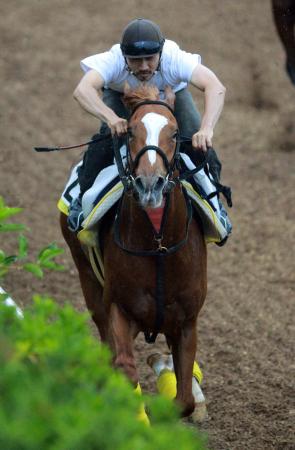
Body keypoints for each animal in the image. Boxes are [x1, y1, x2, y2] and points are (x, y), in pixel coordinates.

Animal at [60, 86, 208, 416]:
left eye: (175, 133)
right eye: (130, 132)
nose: (149, 184)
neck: (158, 246)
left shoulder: (187, 321)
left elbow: (184, 402)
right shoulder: (120, 308)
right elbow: (125, 368)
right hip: (87, 277)